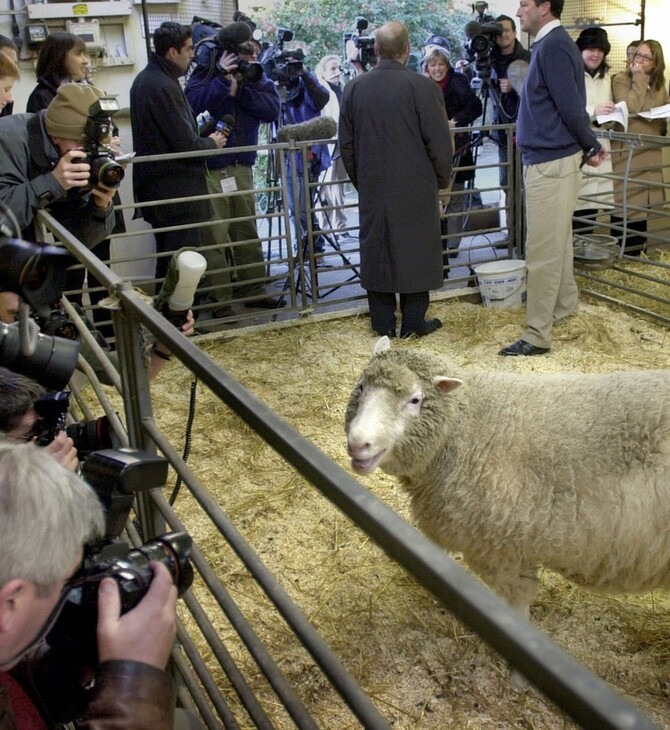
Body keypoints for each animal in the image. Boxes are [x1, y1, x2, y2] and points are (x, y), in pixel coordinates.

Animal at [346, 334, 670, 616]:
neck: (466, 428)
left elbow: (515, 606)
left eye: (415, 400)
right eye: (360, 387)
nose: (358, 443)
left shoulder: (502, 550)